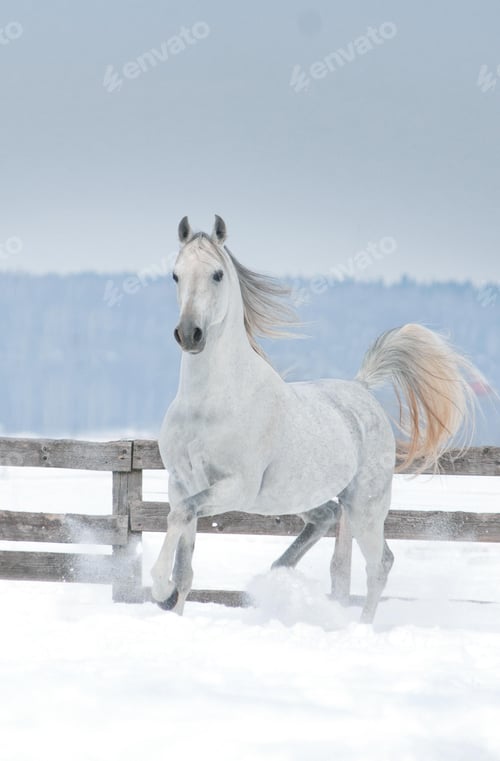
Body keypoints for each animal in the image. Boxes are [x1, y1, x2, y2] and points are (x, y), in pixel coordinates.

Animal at [151, 215, 477, 623]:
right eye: (175, 275)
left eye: (216, 274)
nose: (189, 334)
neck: (208, 405)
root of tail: (361, 388)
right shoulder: (181, 482)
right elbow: (184, 558)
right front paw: (169, 602)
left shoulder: (236, 486)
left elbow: (180, 518)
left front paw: (159, 586)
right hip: (299, 496)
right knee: (328, 518)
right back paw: (280, 573)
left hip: (365, 505)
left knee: (380, 563)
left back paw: (361, 626)